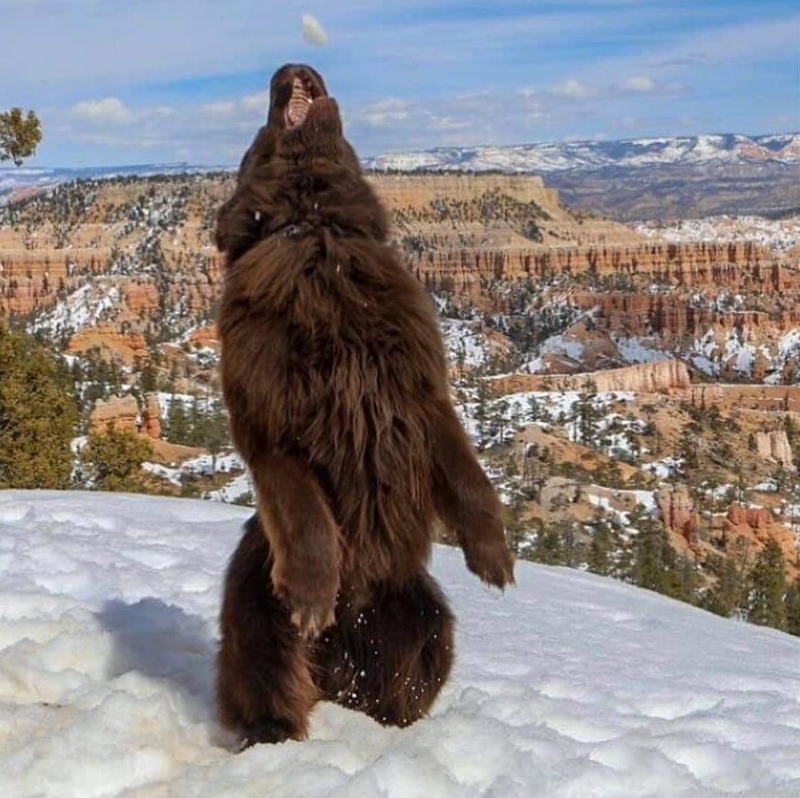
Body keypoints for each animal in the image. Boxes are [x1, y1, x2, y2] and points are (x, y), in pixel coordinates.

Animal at [214, 64, 512, 752]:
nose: (291, 65)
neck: (315, 230)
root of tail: (337, 669)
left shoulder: (422, 398)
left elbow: (469, 480)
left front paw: (494, 557)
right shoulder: (270, 427)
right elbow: (307, 517)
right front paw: (312, 596)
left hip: (425, 619)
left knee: (398, 691)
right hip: (255, 612)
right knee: (272, 683)